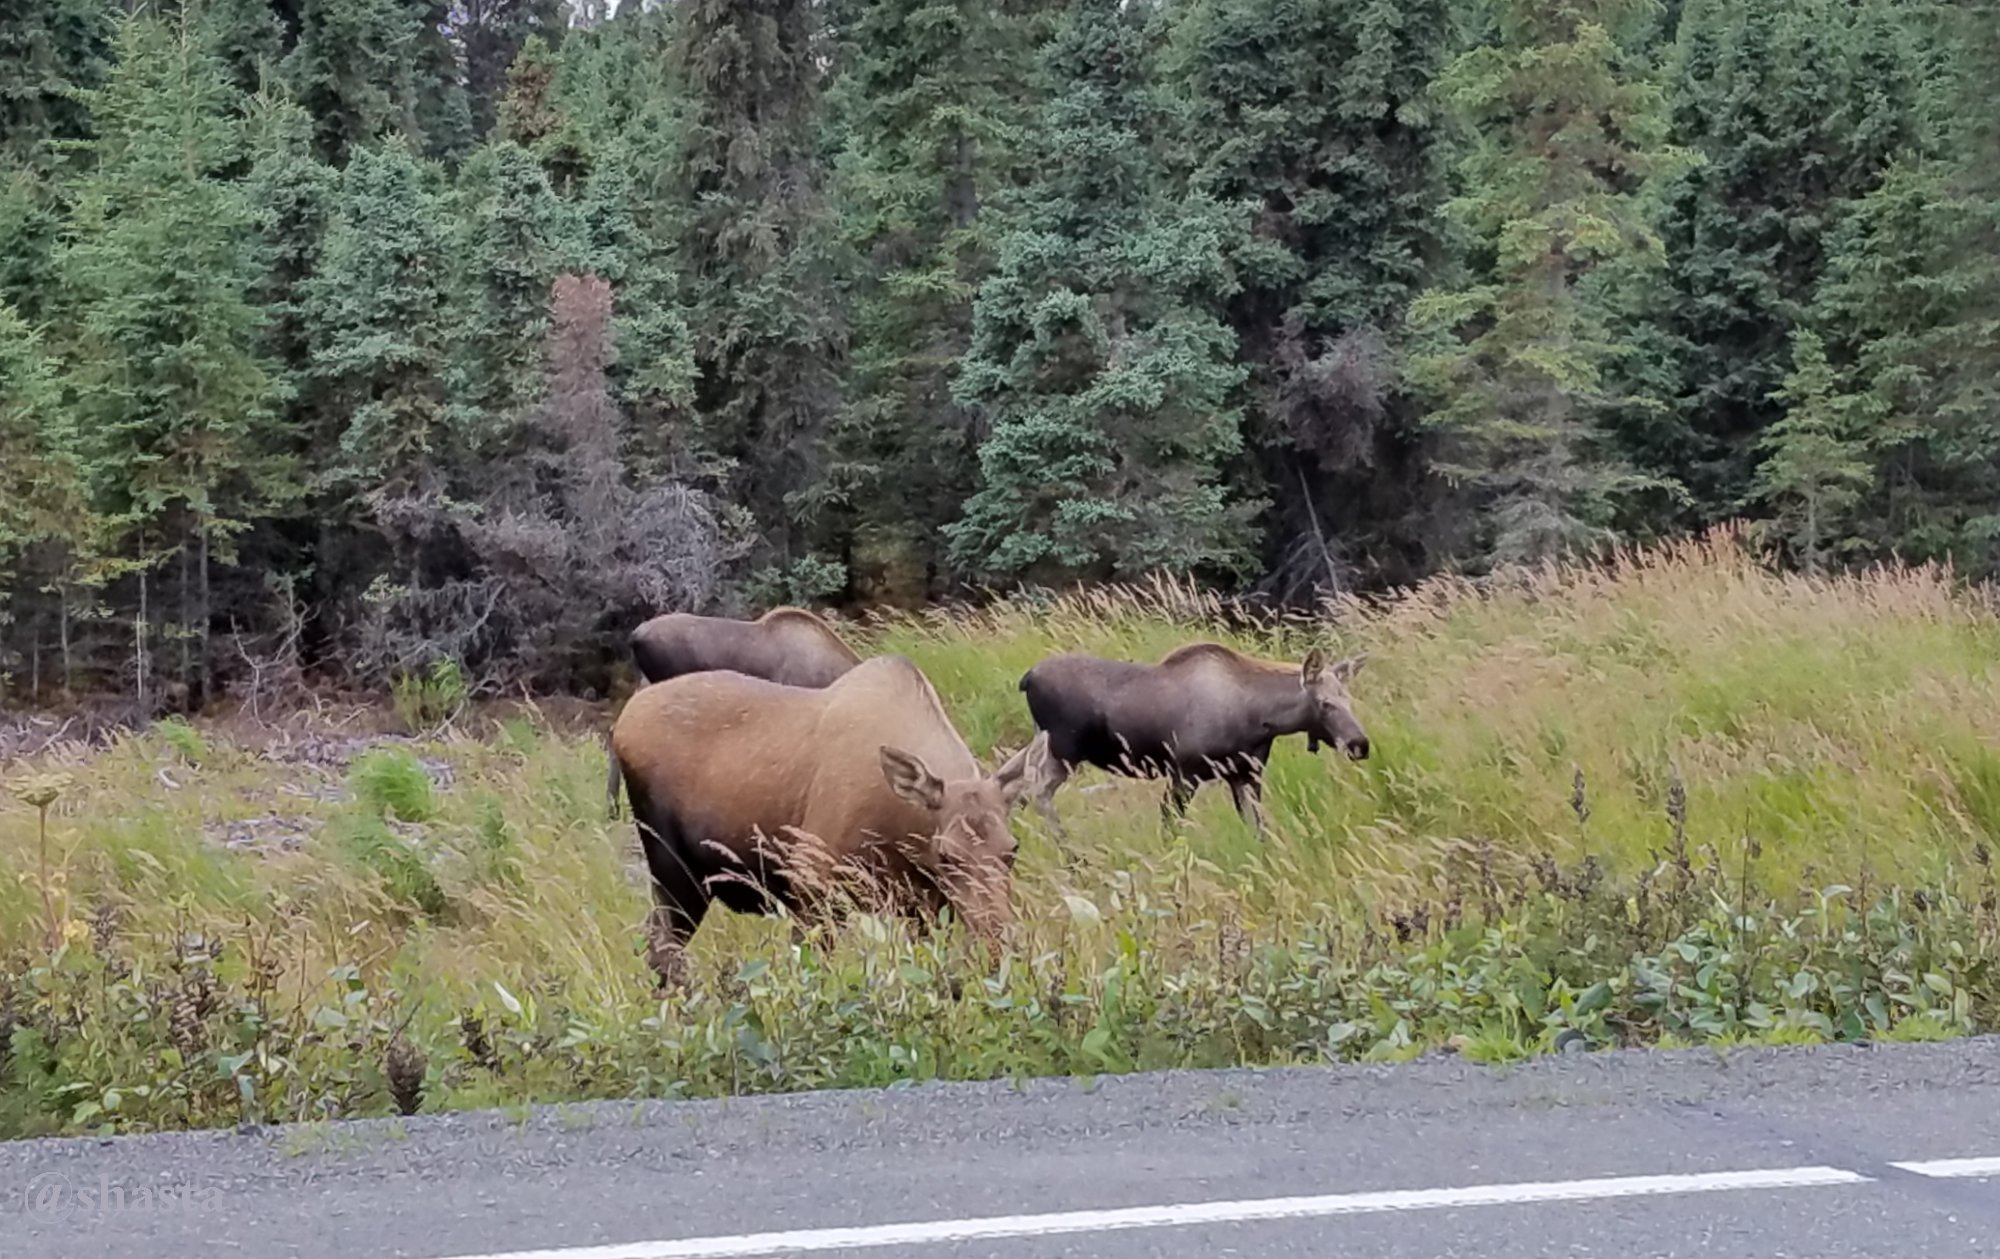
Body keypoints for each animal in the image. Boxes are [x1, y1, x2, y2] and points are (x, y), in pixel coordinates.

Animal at [604, 655, 1056, 991]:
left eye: (1012, 850)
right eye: (946, 855)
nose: (997, 942)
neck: (902, 836)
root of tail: (621, 724)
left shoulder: (924, 906)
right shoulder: (811, 887)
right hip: (674, 866)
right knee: (664, 949)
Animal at [1024, 647, 1368, 843]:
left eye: (1348, 699)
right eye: (1324, 703)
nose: (1360, 744)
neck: (1261, 718)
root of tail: (1025, 678)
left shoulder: (1245, 774)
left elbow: (1259, 828)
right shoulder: (1185, 773)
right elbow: (1170, 824)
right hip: (1063, 749)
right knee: (1037, 791)